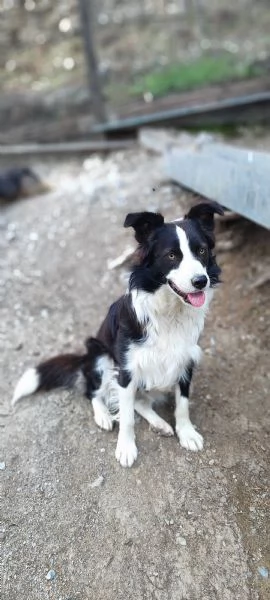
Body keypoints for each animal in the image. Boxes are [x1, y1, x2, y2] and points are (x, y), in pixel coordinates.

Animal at [12, 202, 223, 468]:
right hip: (100, 356)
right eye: (172, 255)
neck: (169, 311)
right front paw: (126, 448)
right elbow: (127, 416)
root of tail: (84, 358)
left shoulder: (186, 358)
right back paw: (103, 415)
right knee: (94, 392)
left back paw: (160, 424)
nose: (200, 281)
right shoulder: (127, 368)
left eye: (202, 251)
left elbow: (182, 403)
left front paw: (187, 433)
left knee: (140, 402)